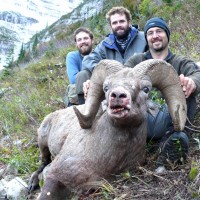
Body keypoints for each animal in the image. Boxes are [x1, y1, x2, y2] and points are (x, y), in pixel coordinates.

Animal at [28, 58, 187, 199]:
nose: (117, 96)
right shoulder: (55, 177)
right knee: (43, 162)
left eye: (146, 89)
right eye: (106, 87)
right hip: (42, 143)